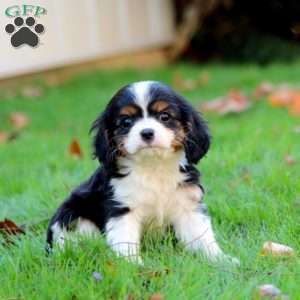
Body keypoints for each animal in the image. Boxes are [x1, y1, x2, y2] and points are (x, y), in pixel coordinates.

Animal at [46, 80, 239, 264]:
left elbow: (202, 237)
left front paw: (220, 260)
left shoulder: (188, 206)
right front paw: (134, 265)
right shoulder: (122, 210)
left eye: (165, 116)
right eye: (126, 122)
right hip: (73, 218)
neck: (153, 166)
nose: (147, 133)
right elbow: (126, 242)